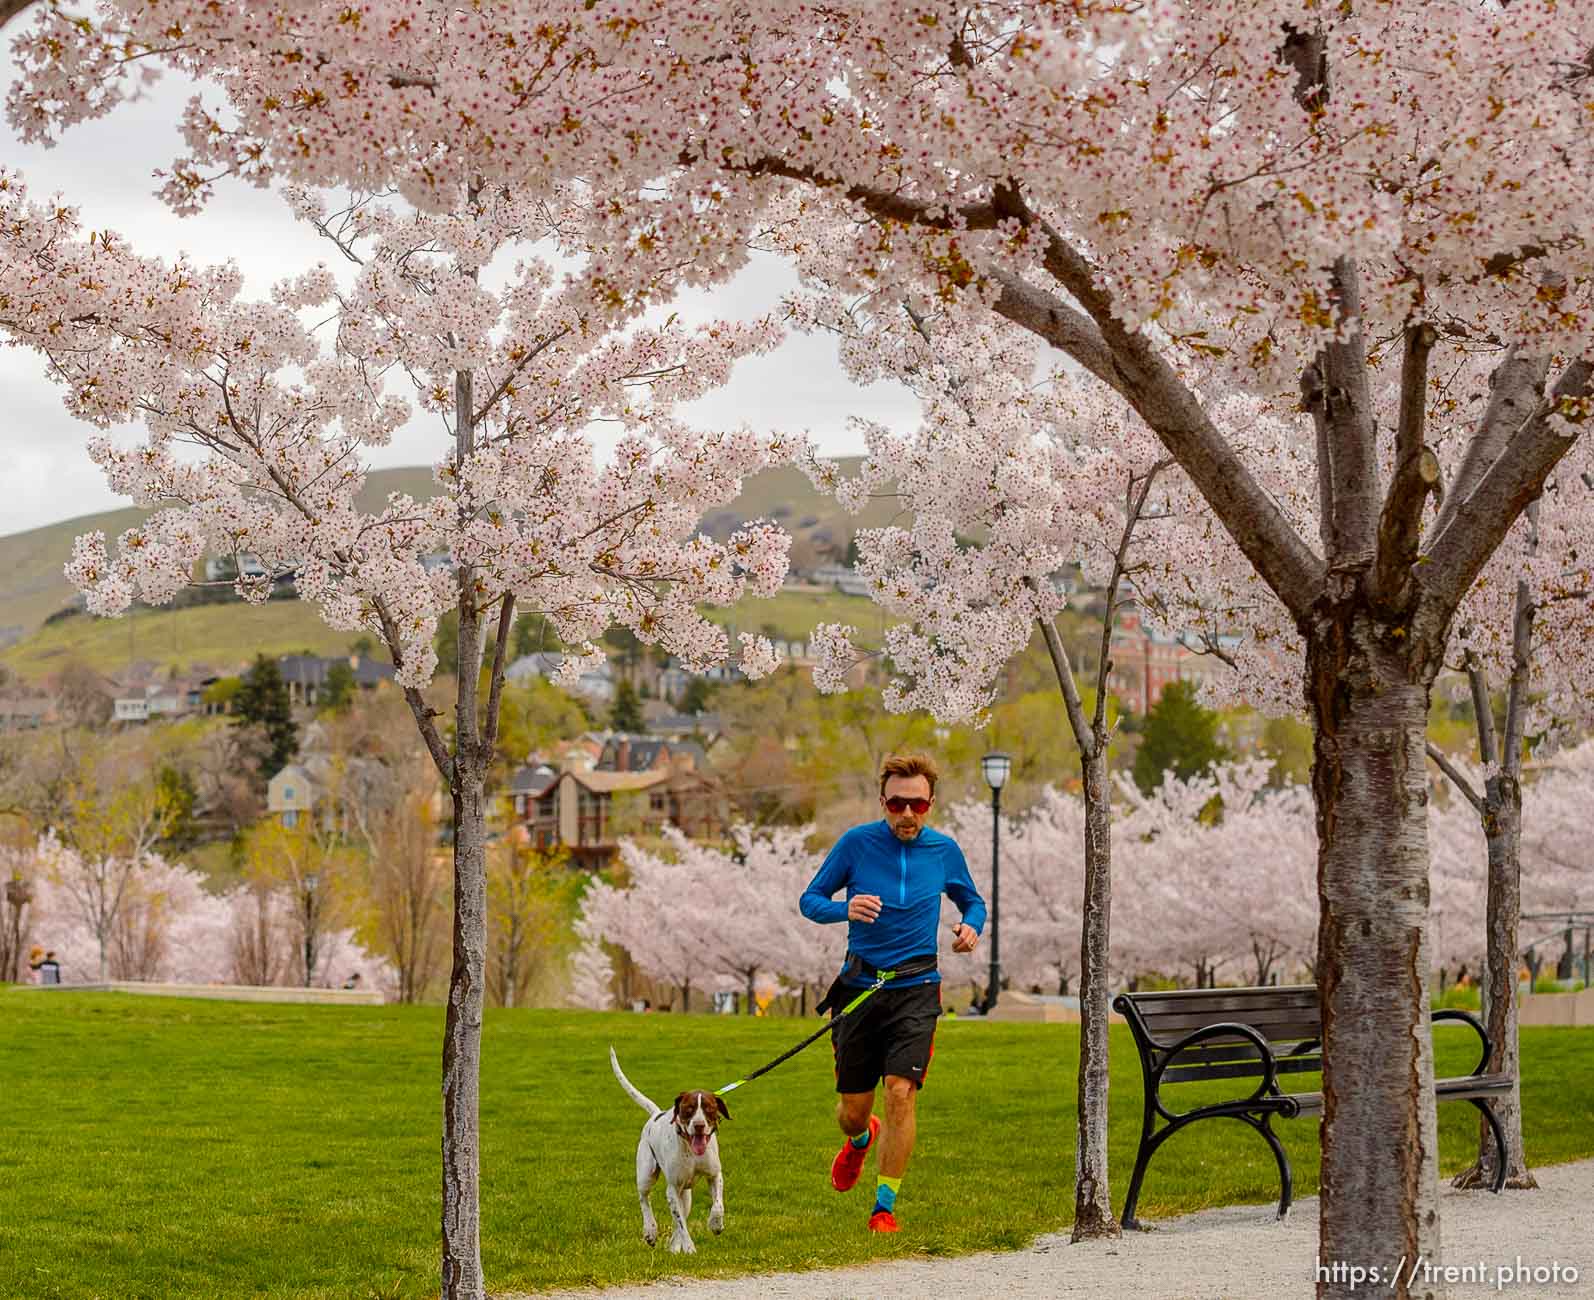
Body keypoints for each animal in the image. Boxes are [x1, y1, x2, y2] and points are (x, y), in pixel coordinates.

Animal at [608, 1045, 733, 1249]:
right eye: (689, 1109)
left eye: (708, 1108)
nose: (699, 1125)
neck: (691, 1150)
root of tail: (655, 1114)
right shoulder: (672, 1188)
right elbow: (681, 1224)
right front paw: (689, 1249)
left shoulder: (714, 1175)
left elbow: (717, 1204)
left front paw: (715, 1224)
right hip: (646, 1174)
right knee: (645, 1199)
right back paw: (650, 1231)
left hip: (686, 1195)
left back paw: (673, 1248)